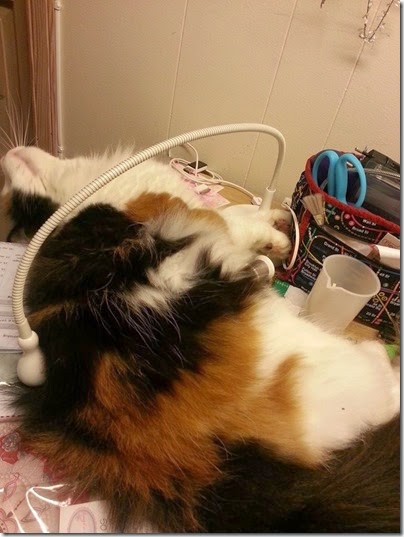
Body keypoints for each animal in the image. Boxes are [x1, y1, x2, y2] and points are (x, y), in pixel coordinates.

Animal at [0, 145, 400, 532]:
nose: (8, 154)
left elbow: (247, 216)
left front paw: (277, 225)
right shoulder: (202, 215)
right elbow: (237, 221)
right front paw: (278, 239)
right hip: (321, 359)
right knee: (383, 390)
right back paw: (382, 357)